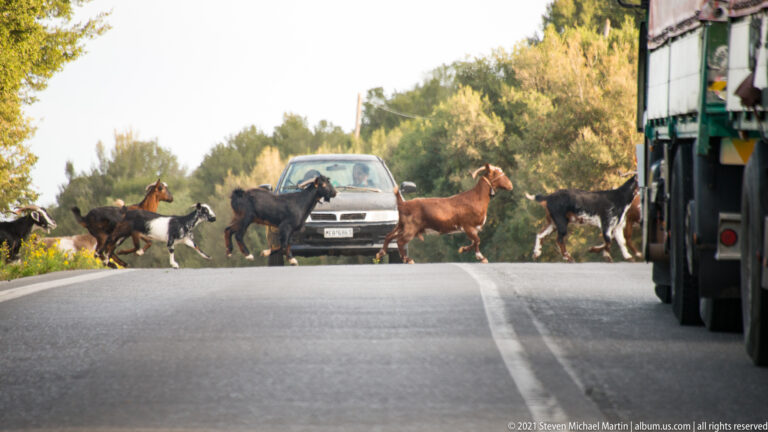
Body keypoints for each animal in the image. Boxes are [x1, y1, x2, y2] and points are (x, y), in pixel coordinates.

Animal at [375, 164, 513, 264]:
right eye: (499, 173)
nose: (511, 185)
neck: (476, 197)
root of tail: (403, 204)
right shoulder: (468, 226)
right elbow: (477, 240)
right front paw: (481, 257)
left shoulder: (471, 228)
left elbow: (475, 241)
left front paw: (463, 249)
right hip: (410, 228)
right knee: (400, 241)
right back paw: (407, 260)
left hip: (401, 225)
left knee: (389, 236)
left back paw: (380, 253)